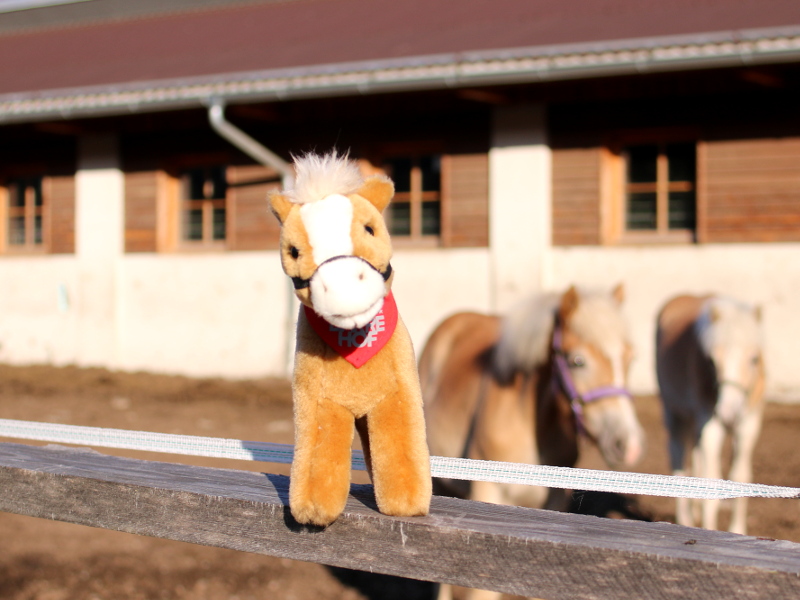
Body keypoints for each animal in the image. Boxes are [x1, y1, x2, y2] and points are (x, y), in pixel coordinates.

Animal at [656, 294, 765, 535]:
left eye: (754, 359)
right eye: (713, 361)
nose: (728, 411)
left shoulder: (748, 424)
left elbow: (740, 476)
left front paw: (737, 529)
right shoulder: (711, 424)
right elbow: (712, 480)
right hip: (674, 413)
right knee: (677, 459)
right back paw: (686, 519)